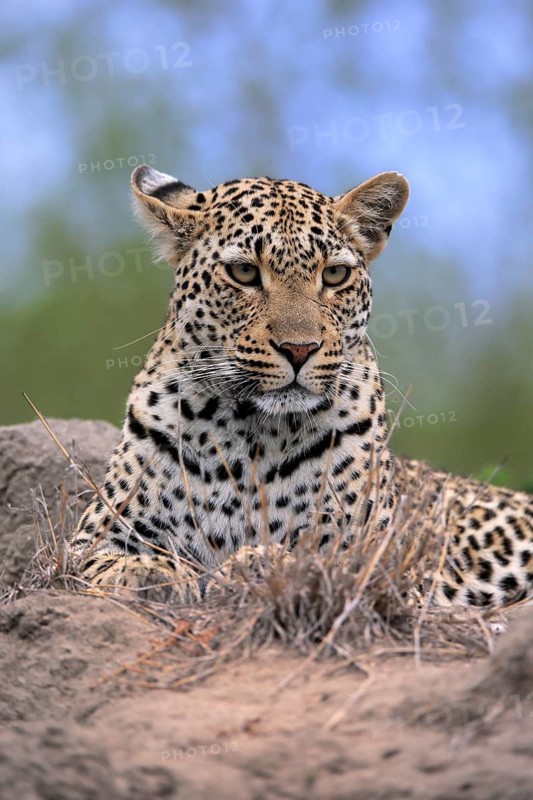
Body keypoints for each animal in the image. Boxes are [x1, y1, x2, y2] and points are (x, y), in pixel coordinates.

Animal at [72, 164, 533, 608]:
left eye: (335, 274)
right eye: (243, 272)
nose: (299, 349)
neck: (248, 435)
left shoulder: (377, 560)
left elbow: (316, 560)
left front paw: (260, 564)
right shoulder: (100, 532)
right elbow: (107, 560)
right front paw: (148, 572)